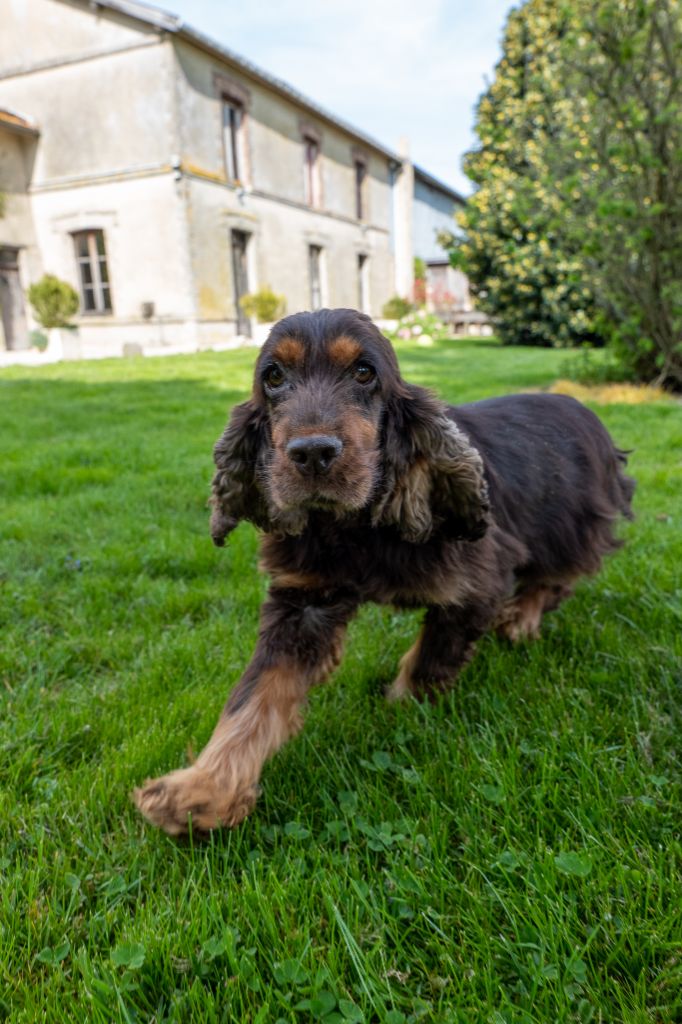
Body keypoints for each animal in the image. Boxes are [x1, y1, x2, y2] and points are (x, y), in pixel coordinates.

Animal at [133, 307, 630, 835]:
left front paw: (400, 708)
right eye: (274, 377)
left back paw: (520, 620)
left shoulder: (478, 582)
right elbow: (253, 696)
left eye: (363, 372)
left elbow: (431, 660)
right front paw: (199, 791)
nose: (312, 453)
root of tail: (583, 408)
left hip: (570, 527)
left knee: (554, 577)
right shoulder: (303, 604)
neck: (353, 526)